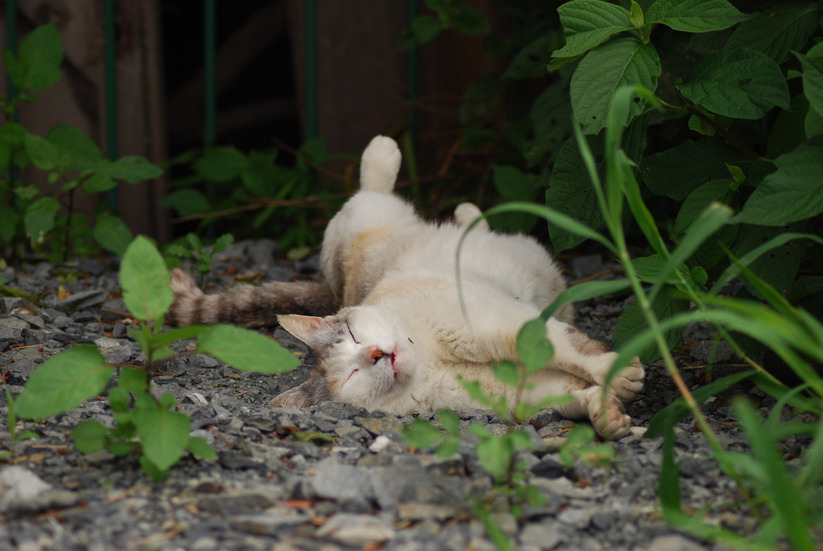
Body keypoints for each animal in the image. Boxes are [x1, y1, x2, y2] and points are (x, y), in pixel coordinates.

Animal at [167, 135, 644, 440]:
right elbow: (567, 394)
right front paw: (608, 415)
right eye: (353, 374)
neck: (434, 358)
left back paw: (393, 156)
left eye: (355, 336)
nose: (379, 354)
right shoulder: (522, 390)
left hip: (364, 224)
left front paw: (619, 373)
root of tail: (334, 283)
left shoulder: (507, 325)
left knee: (373, 189)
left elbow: (573, 351)